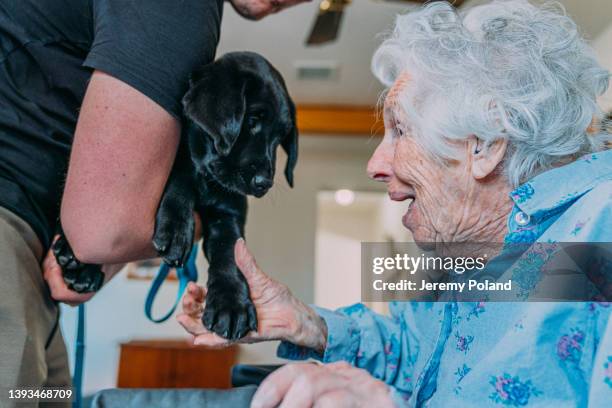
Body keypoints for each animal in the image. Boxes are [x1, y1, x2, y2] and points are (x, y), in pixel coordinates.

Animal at [53, 52, 298, 342]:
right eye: (251, 120)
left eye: (281, 137)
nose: (263, 183)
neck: (208, 179)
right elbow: (180, 177)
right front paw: (176, 230)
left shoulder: (229, 215)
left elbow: (229, 254)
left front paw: (232, 305)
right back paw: (78, 262)